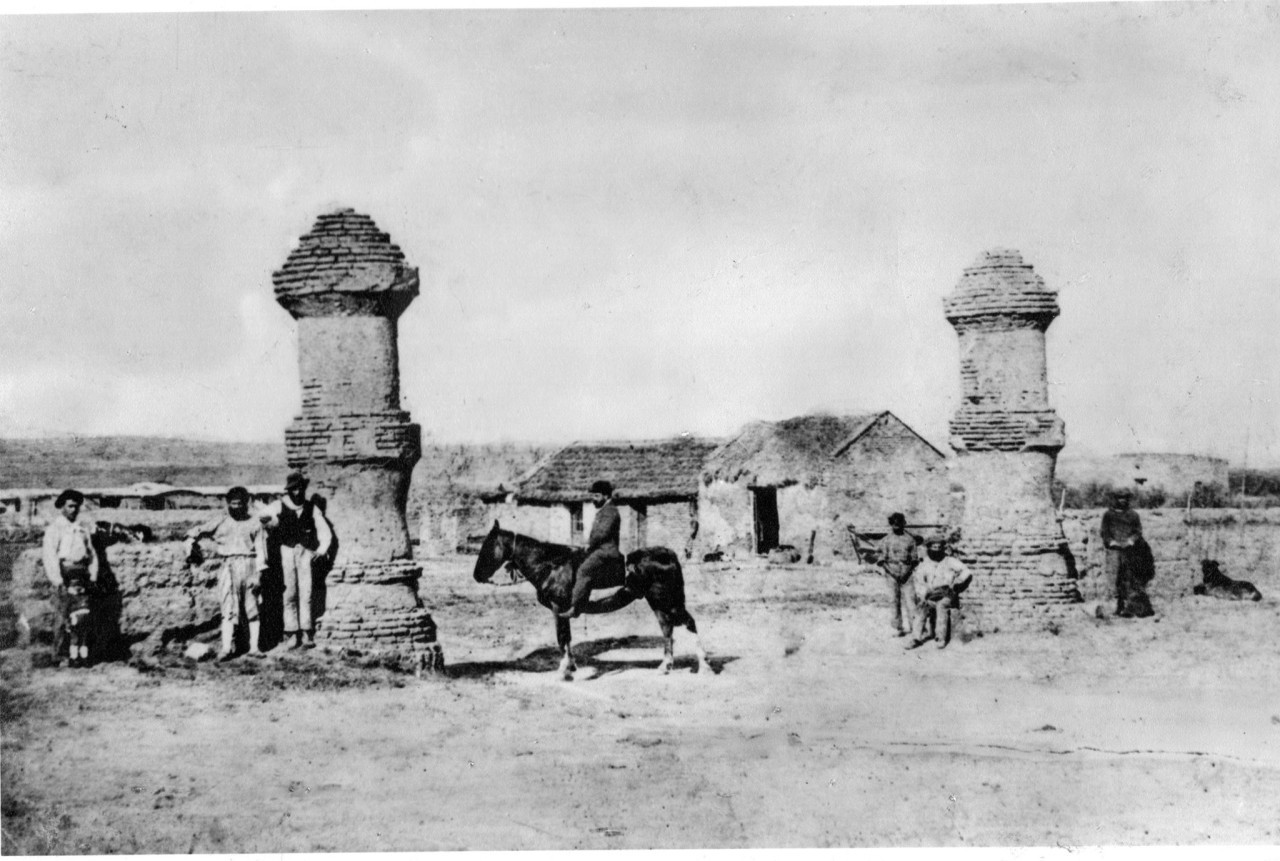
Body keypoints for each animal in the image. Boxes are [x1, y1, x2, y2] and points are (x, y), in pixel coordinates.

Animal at [473, 519, 716, 680]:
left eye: (487, 546)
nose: (476, 576)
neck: (552, 565)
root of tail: (668, 554)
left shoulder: (558, 608)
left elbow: (562, 638)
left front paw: (563, 670)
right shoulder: (561, 611)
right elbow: (567, 638)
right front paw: (571, 666)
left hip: (667, 600)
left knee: (688, 624)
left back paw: (704, 666)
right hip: (658, 603)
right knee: (667, 628)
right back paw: (665, 666)